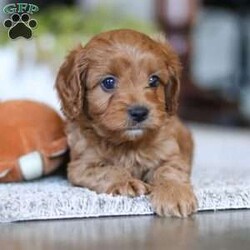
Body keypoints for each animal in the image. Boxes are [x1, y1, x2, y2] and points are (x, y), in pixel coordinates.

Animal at [56, 29, 197, 217]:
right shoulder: (81, 166)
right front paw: (126, 182)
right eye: (108, 82)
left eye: (154, 80)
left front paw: (174, 194)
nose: (139, 112)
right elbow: (107, 170)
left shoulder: (171, 154)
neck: (128, 144)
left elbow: (169, 171)